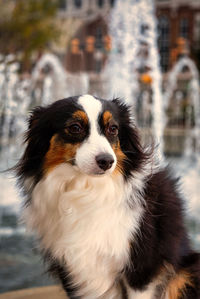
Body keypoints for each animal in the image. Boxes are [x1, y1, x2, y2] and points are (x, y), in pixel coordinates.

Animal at [16, 95, 200, 298]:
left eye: (113, 129)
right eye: (75, 127)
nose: (106, 161)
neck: (87, 189)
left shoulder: (142, 268)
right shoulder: (74, 270)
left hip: (186, 273)